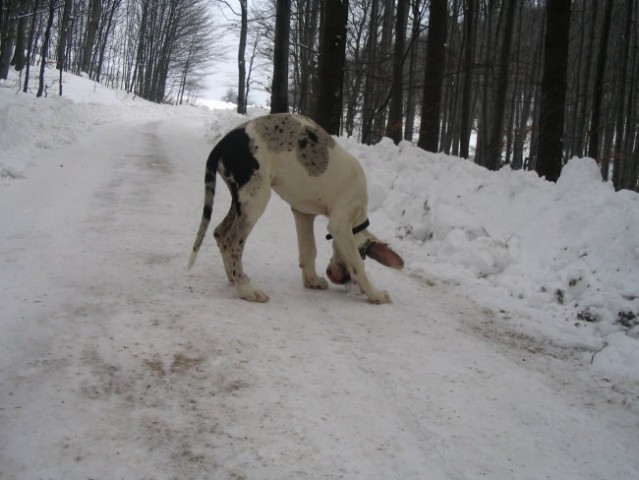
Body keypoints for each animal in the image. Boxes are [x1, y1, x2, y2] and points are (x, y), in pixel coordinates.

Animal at [188, 113, 402, 304]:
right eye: (364, 255)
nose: (339, 279)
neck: (357, 218)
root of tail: (222, 144)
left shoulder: (303, 214)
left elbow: (309, 250)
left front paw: (312, 280)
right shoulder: (340, 224)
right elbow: (356, 264)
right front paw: (375, 294)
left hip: (240, 199)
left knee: (219, 233)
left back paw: (234, 278)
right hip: (255, 200)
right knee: (232, 242)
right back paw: (246, 290)